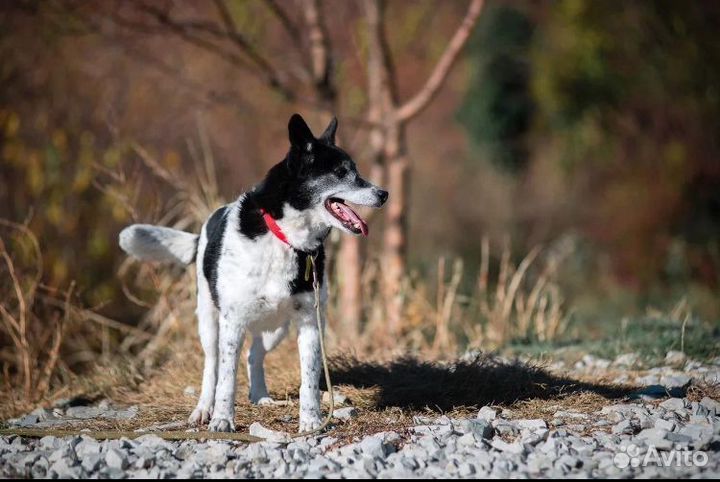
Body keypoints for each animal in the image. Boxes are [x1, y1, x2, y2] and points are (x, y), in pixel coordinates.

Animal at [119, 114, 388, 434]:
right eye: (340, 172)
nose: (384, 194)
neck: (286, 237)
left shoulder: (309, 321)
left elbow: (309, 378)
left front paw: (311, 421)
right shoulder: (232, 322)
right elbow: (226, 379)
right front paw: (223, 419)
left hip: (277, 327)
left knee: (254, 356)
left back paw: (260, 397)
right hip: (210, 322)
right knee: (212, 366)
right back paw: (203, 409)